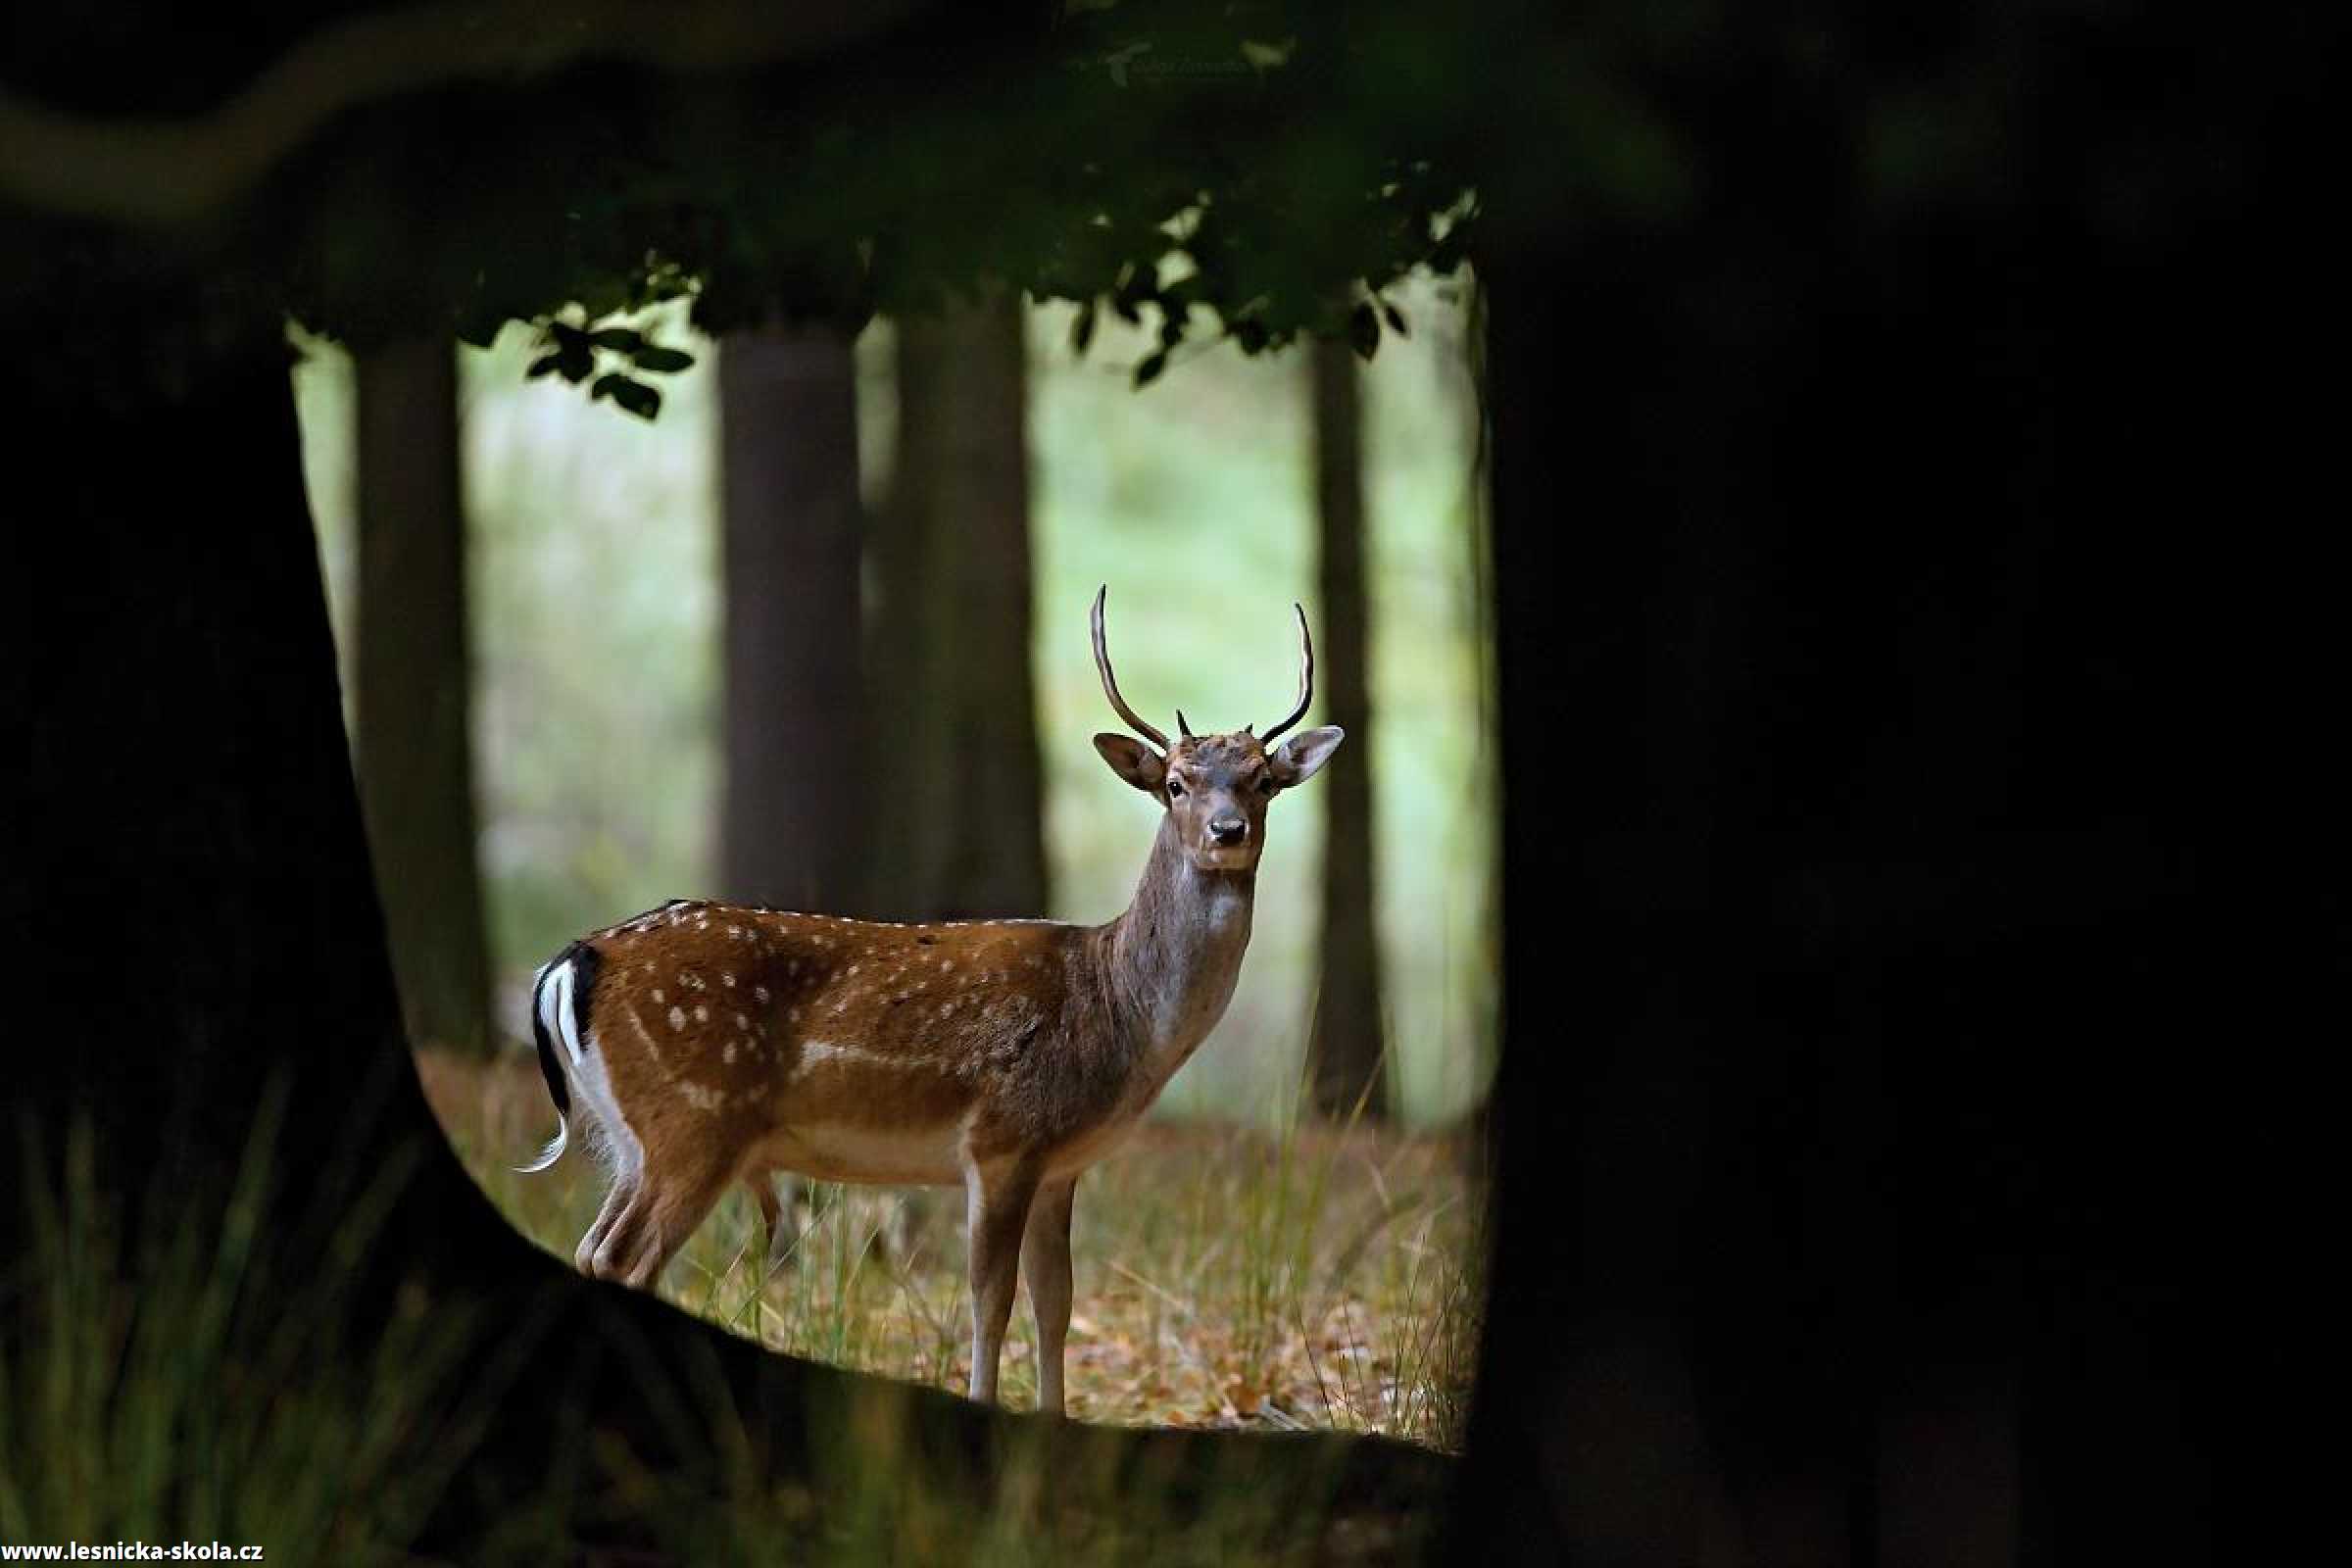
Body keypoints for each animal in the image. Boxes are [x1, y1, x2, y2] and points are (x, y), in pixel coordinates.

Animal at [526, 585, 1354, 1410]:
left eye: (1262, 780)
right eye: (1176, 784)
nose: (1227, 830)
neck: (1116, 1011)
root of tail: (576, 960)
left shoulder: (1061, 1166)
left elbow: (1056, 1306)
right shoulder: (1001, 1139)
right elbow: (990, 1301)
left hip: (631, 1140)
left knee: (592, 1250)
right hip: (693, 1123)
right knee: (626, 1261)